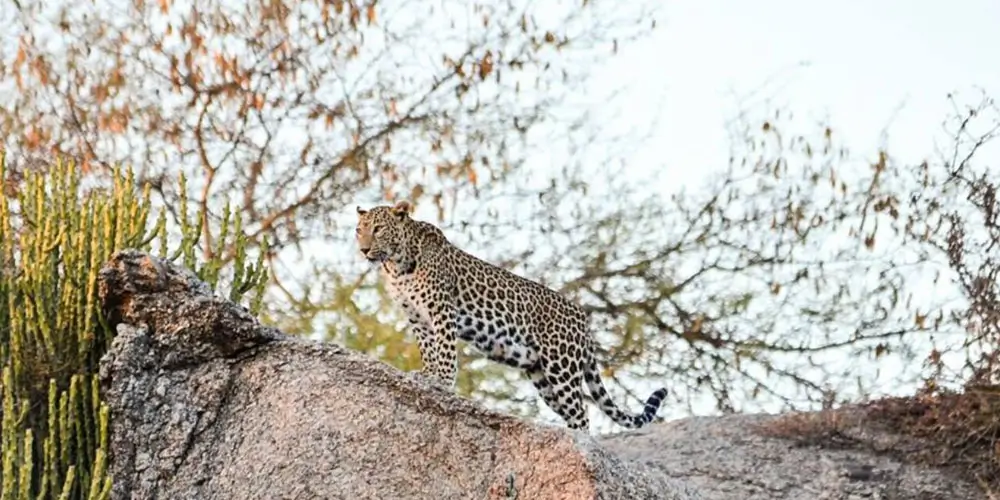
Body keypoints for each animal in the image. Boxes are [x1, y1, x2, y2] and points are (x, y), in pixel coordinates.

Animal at [355, 200, 667, 430]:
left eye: (379, 229)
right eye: (359, 230)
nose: (364, 249)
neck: (396, 265)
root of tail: (584, 321)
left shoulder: (441, 309)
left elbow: (444, 349)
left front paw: (442, 380)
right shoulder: (417, 317)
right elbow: (428, 348)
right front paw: (428, 374)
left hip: (562, 366)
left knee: (581, 415)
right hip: (541, 376)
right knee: (571, 411)